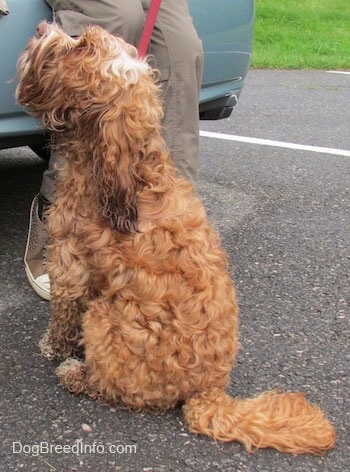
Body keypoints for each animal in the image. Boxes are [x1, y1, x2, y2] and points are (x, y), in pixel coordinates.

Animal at [16, 23, 336, 458]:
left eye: (82, 46)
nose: (41, 28)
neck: (129, 175)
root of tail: (207, 392)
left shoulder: (70, 265)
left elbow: (62, 317)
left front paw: (53, 347)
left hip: (103, 320)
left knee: (111, 387)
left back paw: (75, 373)